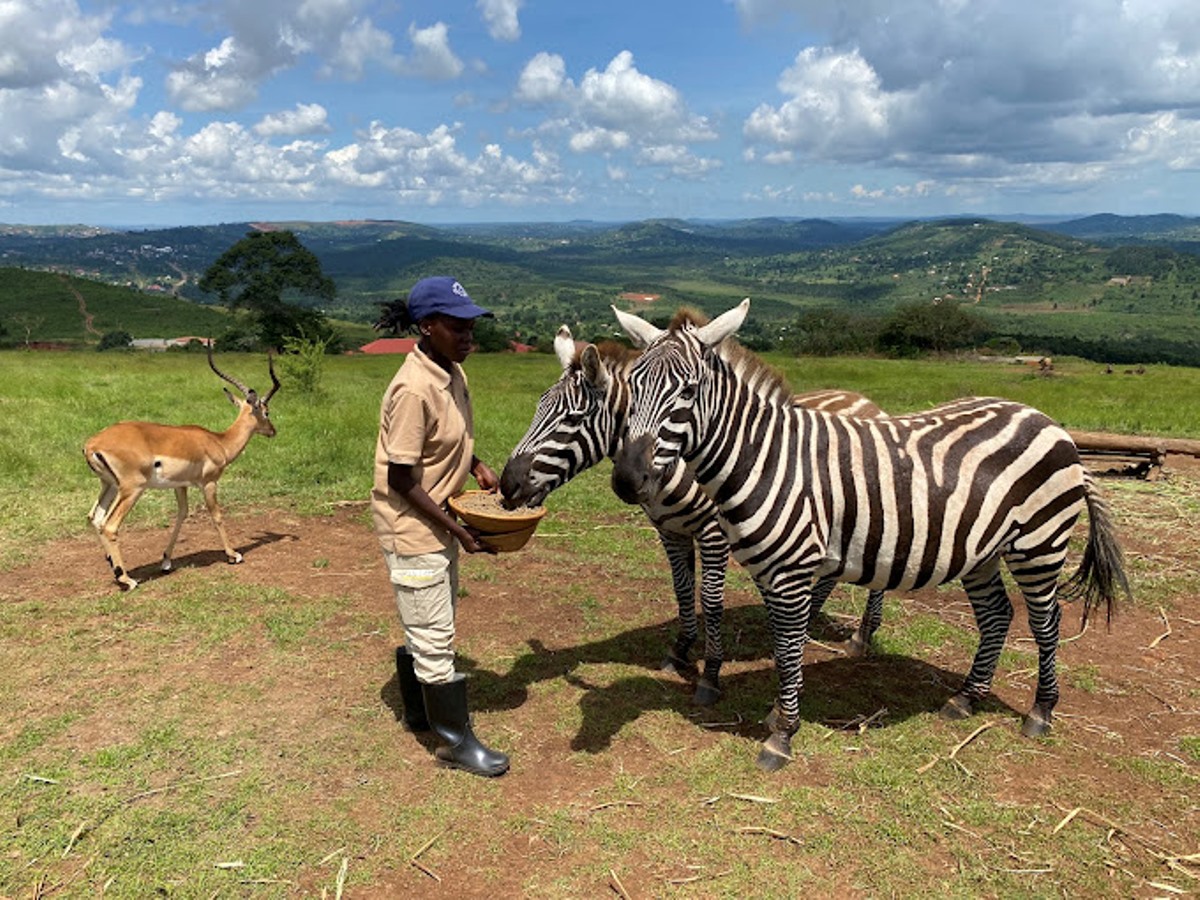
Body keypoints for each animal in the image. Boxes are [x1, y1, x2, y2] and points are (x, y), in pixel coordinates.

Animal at [85, 345, 282, 592]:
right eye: (266, 411)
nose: (273, 431)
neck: (218, 442)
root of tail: (93, 444)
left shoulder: (180, 485)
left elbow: (182, 514)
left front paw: (166, 561)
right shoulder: (209, 483)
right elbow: (216, 515)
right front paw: (233, 555)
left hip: (109, 485)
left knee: (95, 518)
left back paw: (113, 566)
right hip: (132, 489)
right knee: (110, 526)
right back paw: (126, 580)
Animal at [501, 328, 888, 710]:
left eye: (573, 418)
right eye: (538, 408)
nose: (507, 485)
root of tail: (866, 400)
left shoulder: (713, 532)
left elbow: (711, 601)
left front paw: (710, 673)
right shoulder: (669, 531)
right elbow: (682, 589)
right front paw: (680, 650)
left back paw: (860, 637)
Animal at [614, 301, 1128, 777]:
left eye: (688, 391)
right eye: (630, 389)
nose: (627, 480)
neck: (764, 459)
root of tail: (1050, 422)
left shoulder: (792, 572)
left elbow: (789, 648)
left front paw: (782, 735)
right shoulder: (768, 571)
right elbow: (782, 646)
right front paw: (779, 713)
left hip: (1039, 543)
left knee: (1046, 622)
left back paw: (1040, 711)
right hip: (982, 551)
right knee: (998, 615)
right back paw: (966, 698)